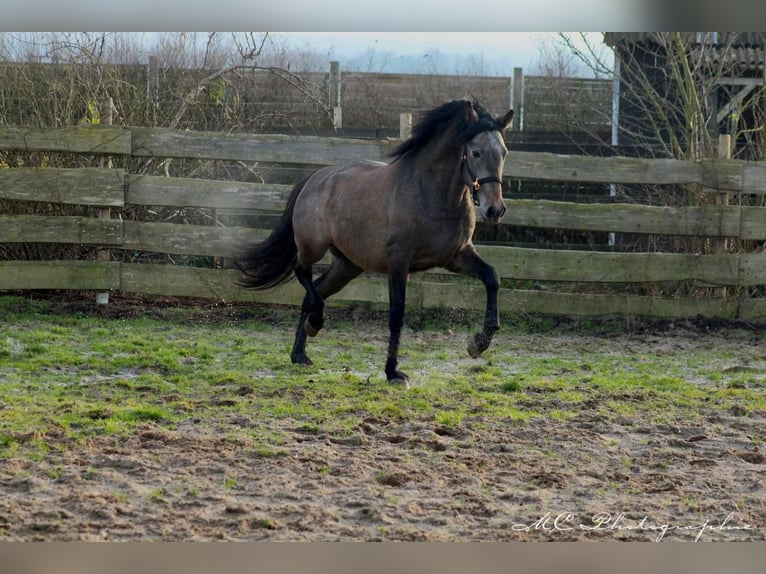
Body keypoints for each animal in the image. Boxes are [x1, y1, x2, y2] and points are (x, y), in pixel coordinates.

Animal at [238, 99, 516, 388]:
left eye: (504, 153)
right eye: (475, 152)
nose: (495, 209)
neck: (432, 193)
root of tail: (315, 178)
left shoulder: (456, 255)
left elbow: (492, 277)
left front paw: (479, 343)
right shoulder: (399, 261)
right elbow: (396, 313)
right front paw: (393, 372)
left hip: (348, 266)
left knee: (314, 293)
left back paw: (300, 352)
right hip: (312, 246)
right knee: (301, 271)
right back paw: (314, 324)